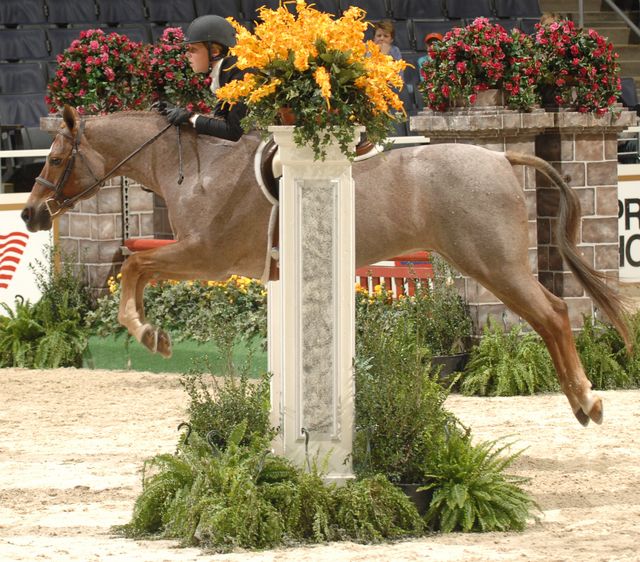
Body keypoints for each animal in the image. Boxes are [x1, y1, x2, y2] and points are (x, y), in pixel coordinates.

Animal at [21, 105, 632, 424]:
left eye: (54, 158)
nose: (29, 213)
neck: (195, 167)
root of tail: (501, 154)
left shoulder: (207, 256)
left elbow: (134, 268)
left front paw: (149, 334)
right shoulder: (203, 258)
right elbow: (132, 264)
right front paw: (149, 330)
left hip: (492, 263)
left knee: (553, 314)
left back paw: (587, 401)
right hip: (486, 262)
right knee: (552, 313)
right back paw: (582, 400)